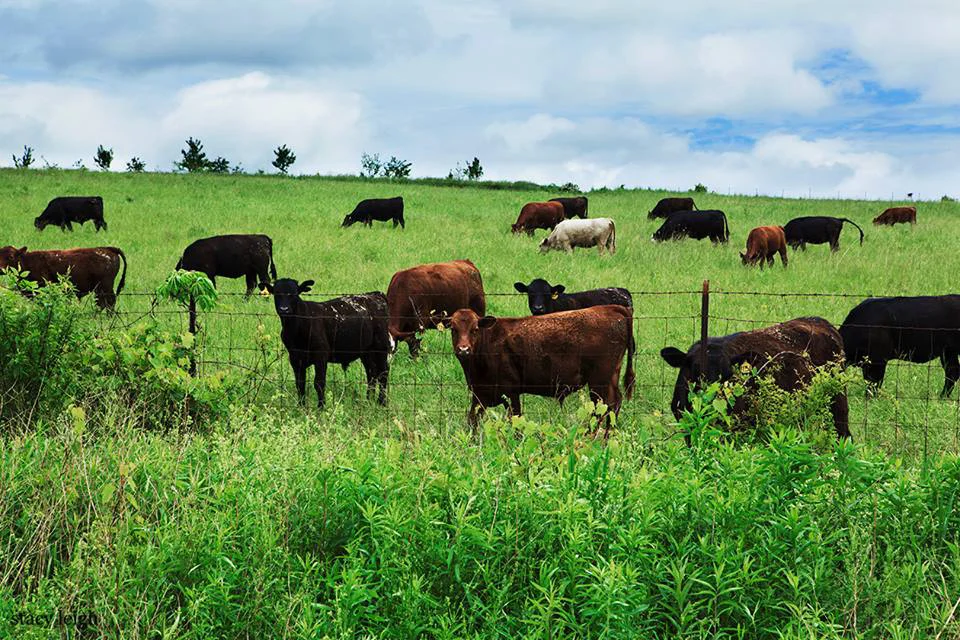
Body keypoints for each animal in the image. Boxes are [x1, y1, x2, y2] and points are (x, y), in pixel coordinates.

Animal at [266, 278, 392, 408]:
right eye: (276, 293)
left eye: (294, 294)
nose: (284, 309)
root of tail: (374, 294)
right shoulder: (295, 358)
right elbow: (300, 384)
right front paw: (301, 406)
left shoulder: (321, 354)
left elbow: (319, 383)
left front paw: (321, 407)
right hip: (366, 351)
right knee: (372, 373)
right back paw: (368, 401)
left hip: (381, 346)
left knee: (383, 373)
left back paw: (382, 402)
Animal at [448, 305, 636, 434]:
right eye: (453, 329)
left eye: (475, 329)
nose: (463, 349)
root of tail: (610, 308)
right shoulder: (479, 394)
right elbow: (472, 421)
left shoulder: (511, 393)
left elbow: (516, 422)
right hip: (610, 377)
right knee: (614, 404)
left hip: (599, 381)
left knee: (602, 408)